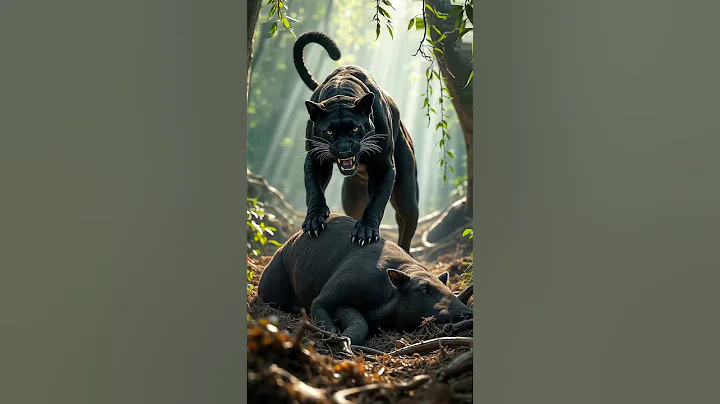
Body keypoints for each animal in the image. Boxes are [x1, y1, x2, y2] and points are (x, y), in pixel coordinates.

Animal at [256, 214, 473, 345]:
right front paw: (335, 335)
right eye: (425, 290)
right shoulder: (340, 286)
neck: (388, 291)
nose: (467, 313)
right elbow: (319, 306)